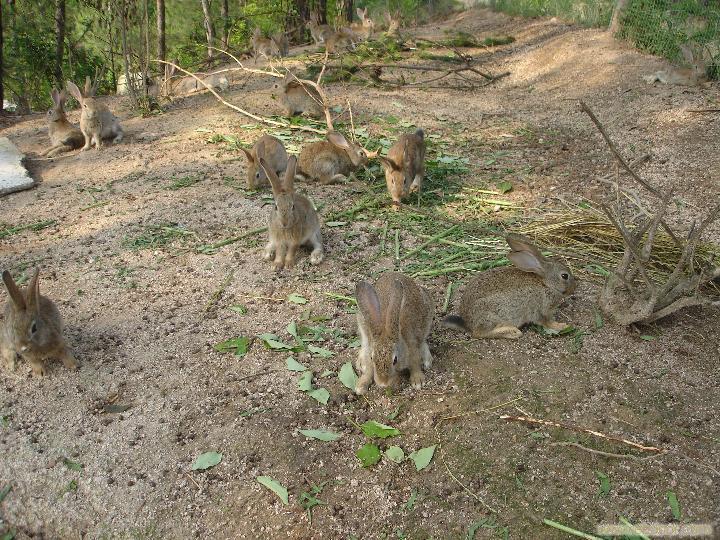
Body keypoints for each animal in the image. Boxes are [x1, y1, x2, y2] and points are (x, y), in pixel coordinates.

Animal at [442, 235, 576, 338]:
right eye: (565, 276)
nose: (573, 289)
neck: (546, 284)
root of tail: (467, 323)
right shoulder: (540, 310)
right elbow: (547, 322)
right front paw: (562, 325)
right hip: (490, 315)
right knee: (479, 333)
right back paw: (512, 332)